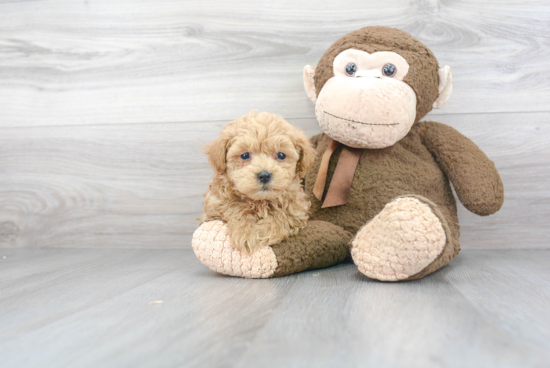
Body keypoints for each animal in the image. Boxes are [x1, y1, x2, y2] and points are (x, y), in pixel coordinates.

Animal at [201, 110, 316, 253]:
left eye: (281, 155)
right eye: (245, 155)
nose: (264, 175)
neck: (260, 201)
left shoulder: (297, 211)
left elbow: (283, 217)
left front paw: (259, 232)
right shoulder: (215, 205)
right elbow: (233, 206)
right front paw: (244, 232)